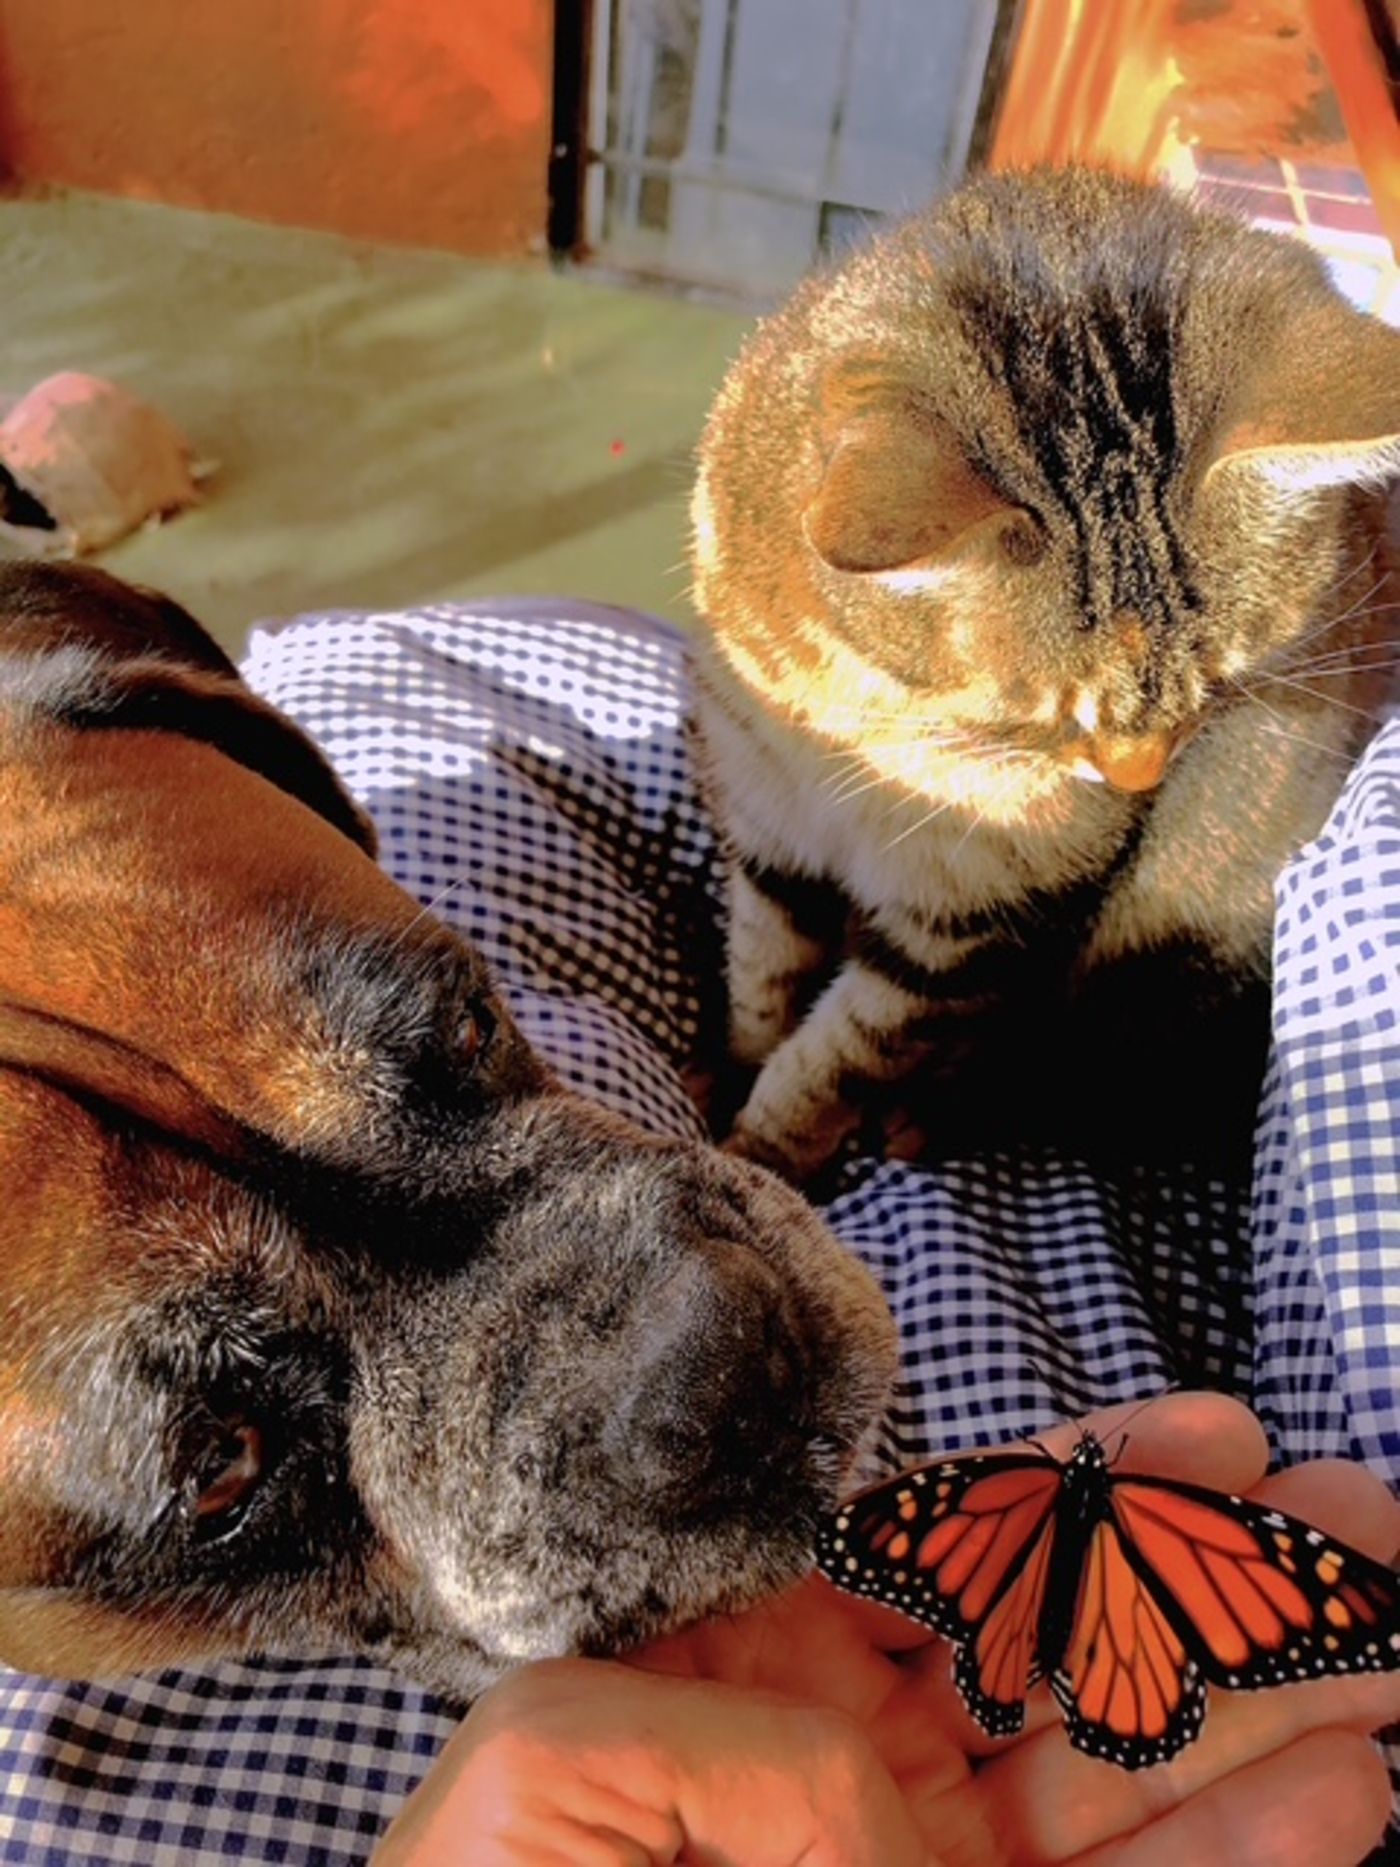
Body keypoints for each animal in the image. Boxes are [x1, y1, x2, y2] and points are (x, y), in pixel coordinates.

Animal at [694, 164, 1400, 1179]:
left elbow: (844, 1052)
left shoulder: (973, 927)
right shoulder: (768, 828)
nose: (1140, 778)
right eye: (1045, 714)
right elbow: (761, 976)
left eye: (1218, 688)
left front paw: (762, 1156)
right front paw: (728, 1072)